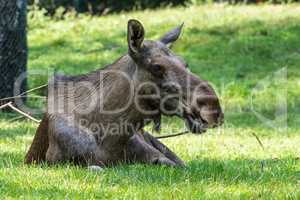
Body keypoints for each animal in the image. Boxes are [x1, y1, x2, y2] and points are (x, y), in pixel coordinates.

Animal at [25, 19, 223, 168]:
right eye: (157, 67)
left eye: (184, 63)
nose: (213, 108)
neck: (111, 137)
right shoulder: (58, 161)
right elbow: (95, 167)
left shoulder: (160, 157)